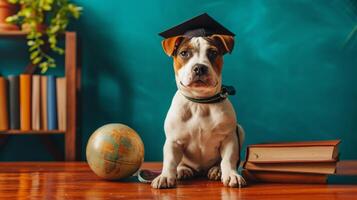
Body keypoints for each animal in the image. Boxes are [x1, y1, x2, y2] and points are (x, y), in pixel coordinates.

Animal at [152, 32, 246, 188]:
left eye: (213, 53)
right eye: (184, 53)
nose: (199, 68)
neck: (200, 103)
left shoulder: (229, 138)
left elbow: (228, 159)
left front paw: (232, 175)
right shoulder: (173, 141)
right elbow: (170, 161)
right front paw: (165, 177)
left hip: (240, 130)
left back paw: (216, 170)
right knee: (181, 163)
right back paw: (183, 170)